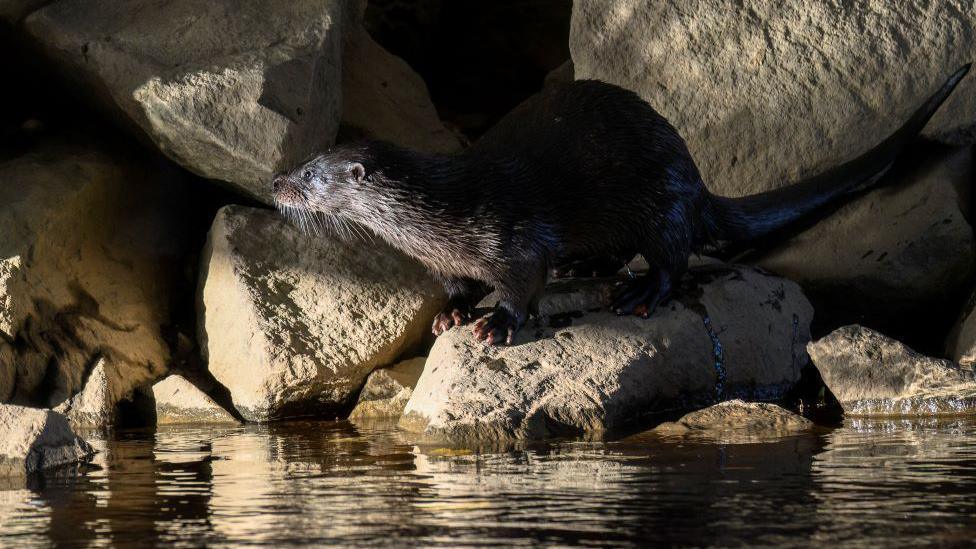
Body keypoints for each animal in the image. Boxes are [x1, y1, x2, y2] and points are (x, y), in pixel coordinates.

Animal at [272, 64, 968, 344]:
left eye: (311, 174)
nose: (277, 183)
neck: (436, 221)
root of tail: (694, 173)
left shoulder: (513, 235)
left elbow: (524, 280)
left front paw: (497, 323)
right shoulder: (447, 262)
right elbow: (456, 288)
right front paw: (450, 316)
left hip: (664, 199)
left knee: (672, 257)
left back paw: (636, 292)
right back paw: (587, 268)